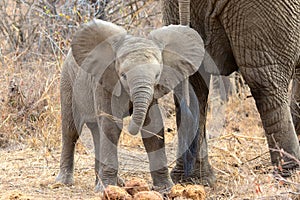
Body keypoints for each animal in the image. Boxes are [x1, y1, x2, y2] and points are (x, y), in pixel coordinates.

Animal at [56, 19, 204, 191]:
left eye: (157, 75)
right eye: (123, 75)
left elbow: (153, 126)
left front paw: (166, 188)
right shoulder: (103, 81)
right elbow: (111, 126)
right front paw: (107, 188)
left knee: (96, 132)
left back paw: (108, 183)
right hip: (67, 81)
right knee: (71, 130)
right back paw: (64, 182)